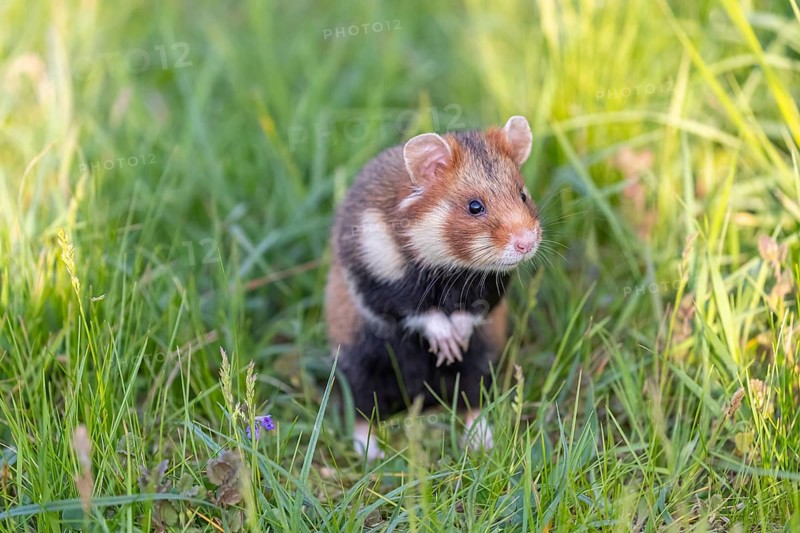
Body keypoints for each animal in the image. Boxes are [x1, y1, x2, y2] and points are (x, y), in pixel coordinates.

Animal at [324, 115, 540, 460]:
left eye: (522, 195)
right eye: (474, 206)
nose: (527, 244)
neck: (447, 265)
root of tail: (419, 397)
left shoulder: (492, 285)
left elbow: (474, 310)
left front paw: (456, 342)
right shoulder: (375, 276)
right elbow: (414, 309)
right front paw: (447, 344)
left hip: (483, 359)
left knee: (472, 398)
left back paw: (482, 443)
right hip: (356, 361)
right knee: (361, 408)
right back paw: (371, 454)